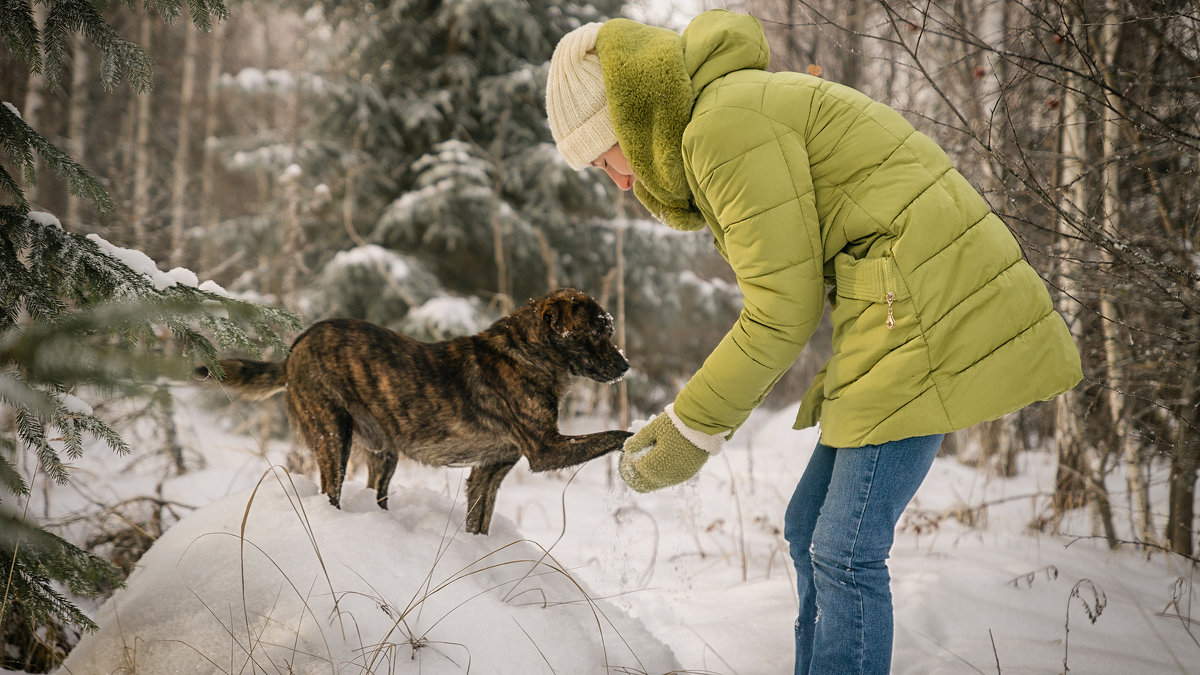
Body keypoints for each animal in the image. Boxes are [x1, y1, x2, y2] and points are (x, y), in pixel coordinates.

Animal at [199, 285, 628, 533]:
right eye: (598, 332)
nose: (626, 367)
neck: (528, 352)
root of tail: (295, 349)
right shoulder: (546, 449)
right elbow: (611, 435)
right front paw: (636, 438)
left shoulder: (488, 471)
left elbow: (479, 521)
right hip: (333, 434)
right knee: (329, 491)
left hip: (383, 452)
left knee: (376, 491)